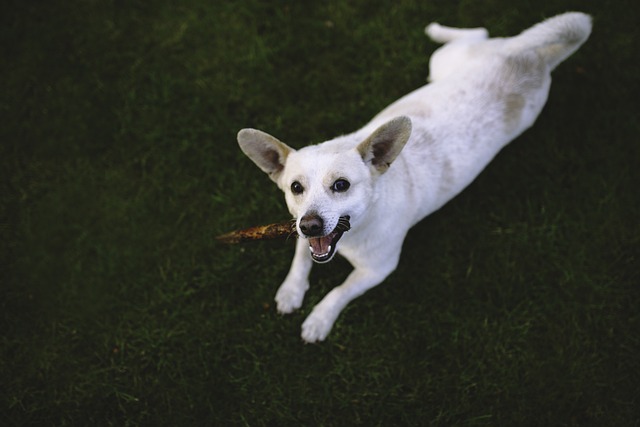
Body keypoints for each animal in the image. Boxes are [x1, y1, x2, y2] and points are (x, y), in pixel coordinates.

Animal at [238, 11, 592, 342]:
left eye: (341, 185)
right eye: (296, 187)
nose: (310, 224)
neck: (356, 231)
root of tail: (533, 57)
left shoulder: (378, 270)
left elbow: (340, 290)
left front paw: (319, 319)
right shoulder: (300, 230)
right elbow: (301, 256)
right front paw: (291, 291)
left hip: (452, 64)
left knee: (477, 32)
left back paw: (437, 29)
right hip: (446, 65)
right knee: (479, 33)